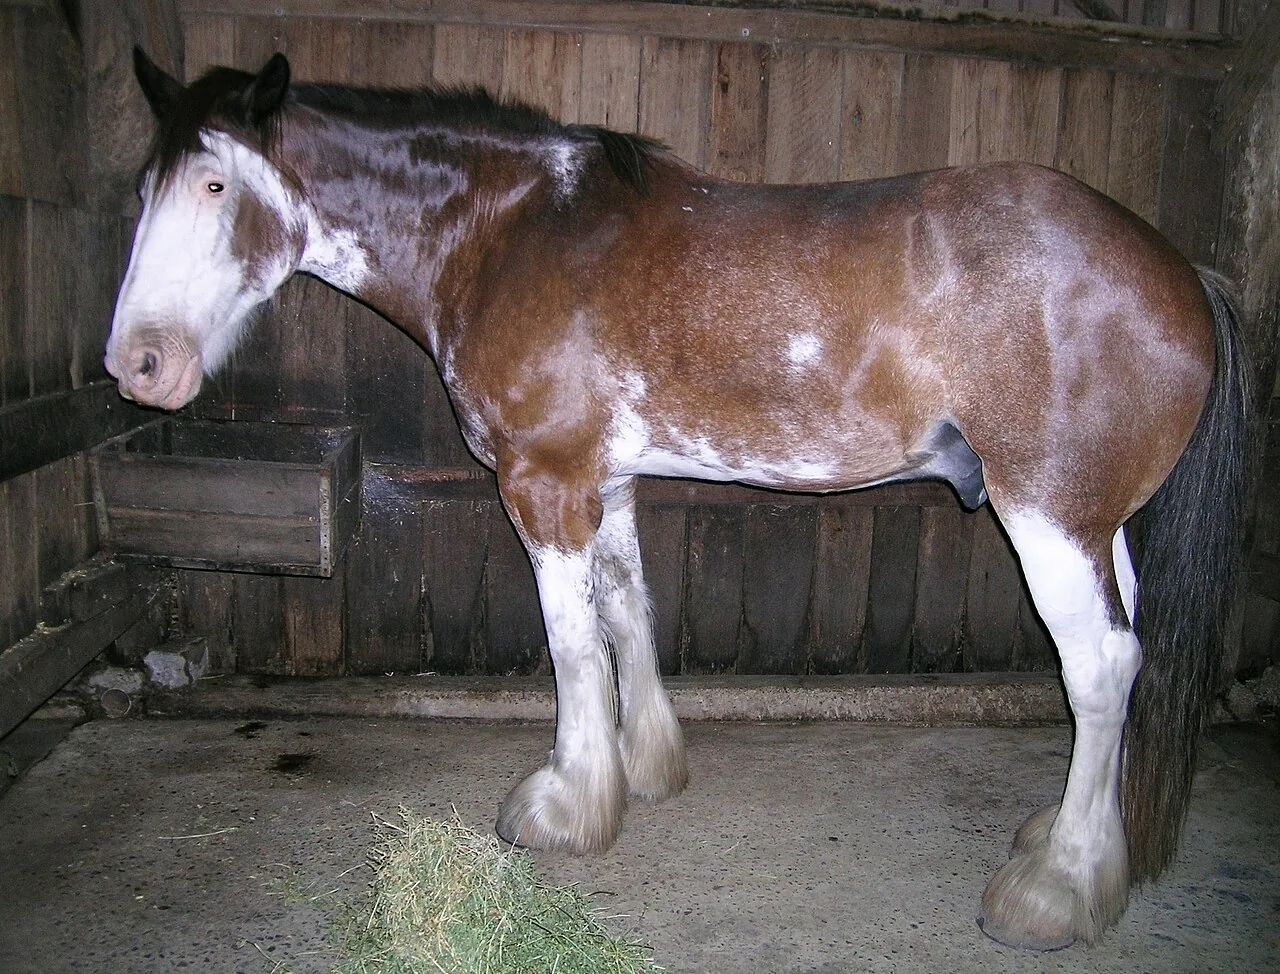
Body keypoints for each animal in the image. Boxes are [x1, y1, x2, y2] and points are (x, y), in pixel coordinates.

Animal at [106, 48, 1252, 951]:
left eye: (215, 184)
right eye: (144, 189)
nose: (138, 364)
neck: (508, 234)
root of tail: (1183, 273)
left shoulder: (542, 482)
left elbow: (572, 646)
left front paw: (567, 804)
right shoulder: (604, 481)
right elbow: (627, 613)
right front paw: (644, 766)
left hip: (1048, 517)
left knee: (1098, 668)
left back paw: (1053, 890)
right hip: (1101, 527)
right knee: (1127, 655)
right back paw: (1076, 846)